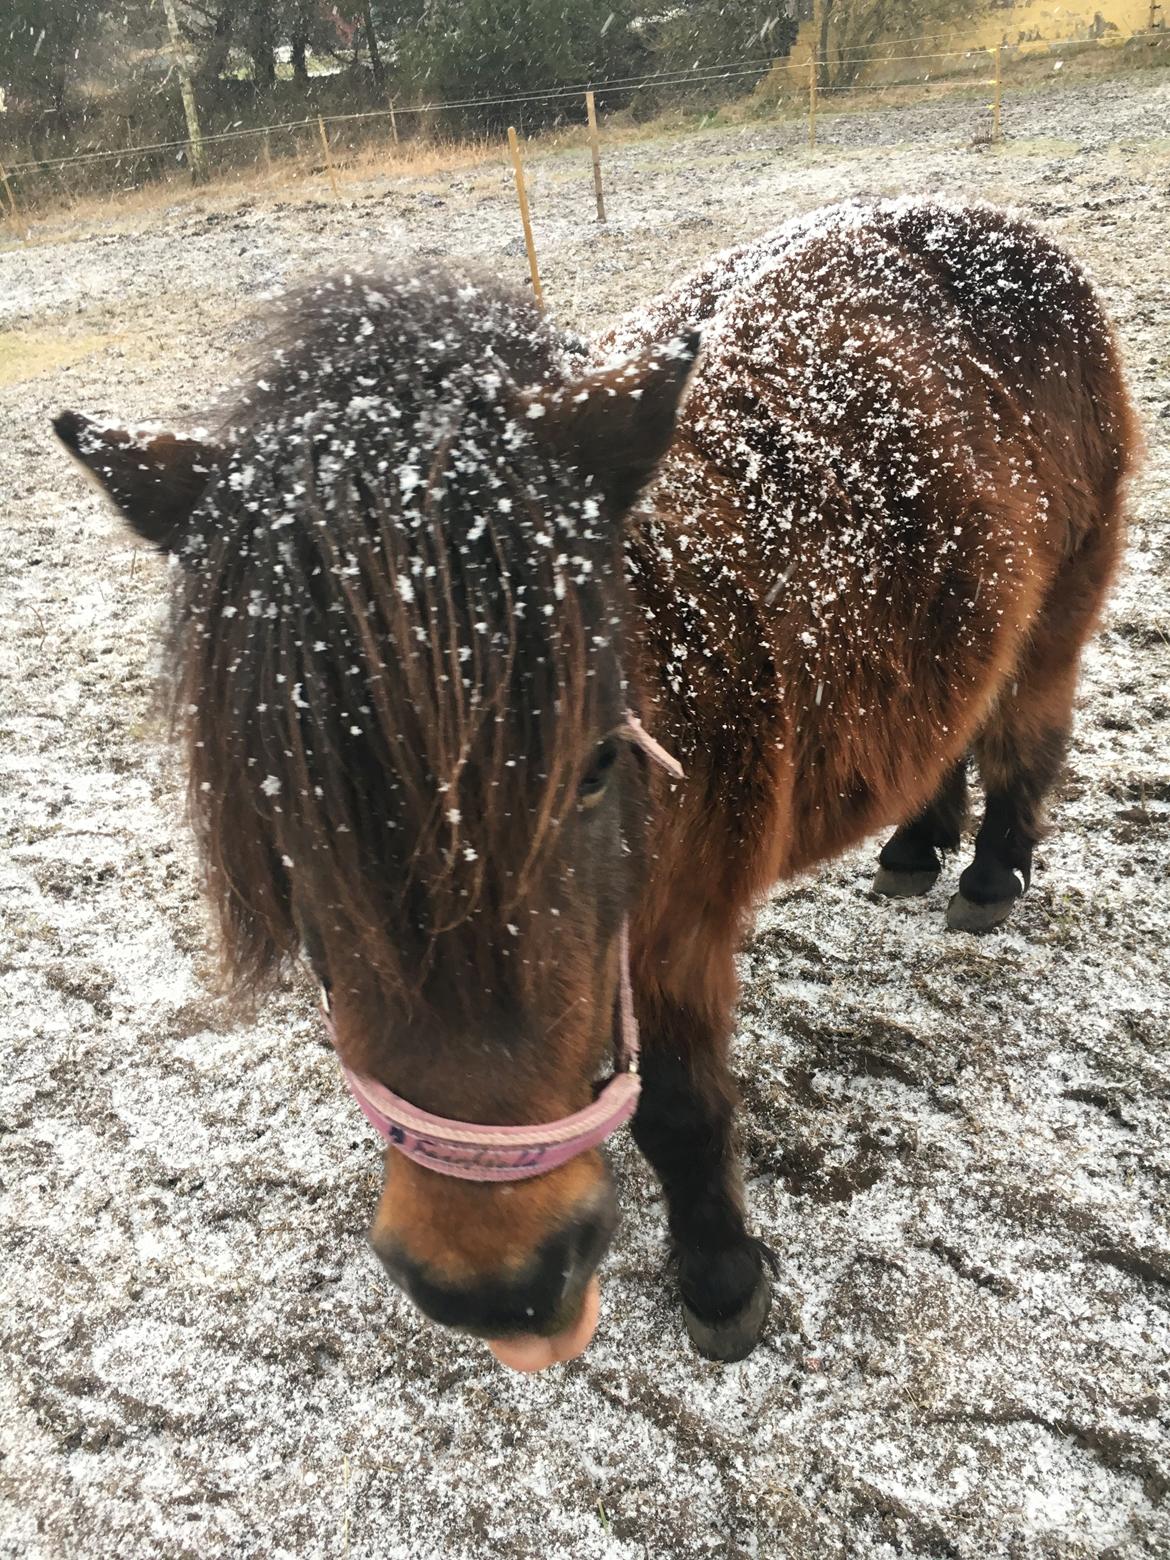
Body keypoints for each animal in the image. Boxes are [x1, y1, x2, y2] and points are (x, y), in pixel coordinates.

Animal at [57, 201, 1135, 1372]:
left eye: (596, 765)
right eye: (278, 814)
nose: (493, 1283)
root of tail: (1003, 230)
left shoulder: (675, 930)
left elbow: (678, 1111)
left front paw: (721, 1279)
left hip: (1061, 607)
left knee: (1026, 734)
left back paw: (989, 875)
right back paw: (916, 846)